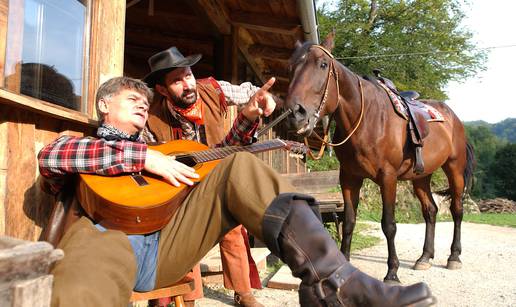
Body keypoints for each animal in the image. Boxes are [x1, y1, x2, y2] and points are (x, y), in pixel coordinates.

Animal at [286, 31, 476, 284]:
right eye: (290, 67)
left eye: (323, 64)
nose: (295, 113)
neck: (366, 119)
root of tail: (453, 117)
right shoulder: (349, 178)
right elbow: (349, 221)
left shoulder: (388, 177)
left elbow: (389, 225)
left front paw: (392, 272)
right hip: (420, 177)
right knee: (430, 211)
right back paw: (425, 257)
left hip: (454, 169)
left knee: (456, 209)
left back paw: (454, 256)